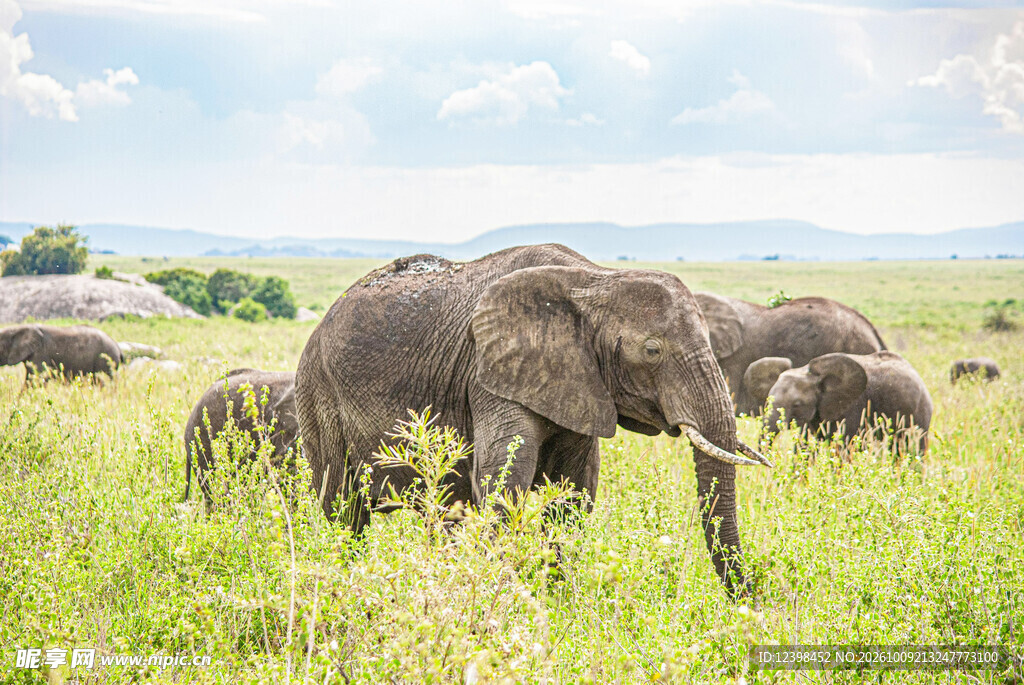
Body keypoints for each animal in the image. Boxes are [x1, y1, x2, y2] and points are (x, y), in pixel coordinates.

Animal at [296, 244, 771, 593]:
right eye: (652, 350)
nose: (748, 602)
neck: (594, 279)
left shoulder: (580, 385)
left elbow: (573, 492)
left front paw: (554, 599)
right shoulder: (489, 373)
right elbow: (503, 482)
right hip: (317, 389)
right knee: (343, 509)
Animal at [746, 351, 932, 453]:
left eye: (797, 404)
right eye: (768, 401)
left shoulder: (852, 408)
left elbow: (843, 448)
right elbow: (803, 448)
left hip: (920, 414)